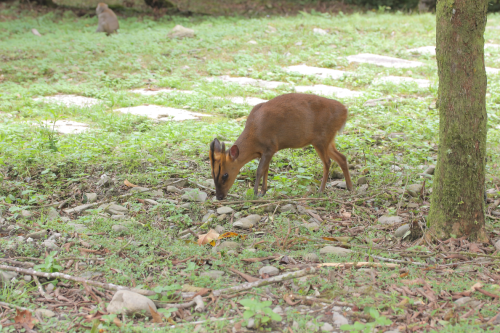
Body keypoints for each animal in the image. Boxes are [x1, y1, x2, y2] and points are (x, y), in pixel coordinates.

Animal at [209, 92, 354, 198]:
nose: (219, 197)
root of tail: (345, 111)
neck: (254, 136)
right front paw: (263, 191)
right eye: (212, 173)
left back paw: (321, 190)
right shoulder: (266, 152)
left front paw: (255, 193)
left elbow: (259, 170)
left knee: (328, 162)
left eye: (225, 175)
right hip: (327, 140)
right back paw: (349, 187)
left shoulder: (270, 147)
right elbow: (266, 169)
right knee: (342, 157)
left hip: (321, 139)